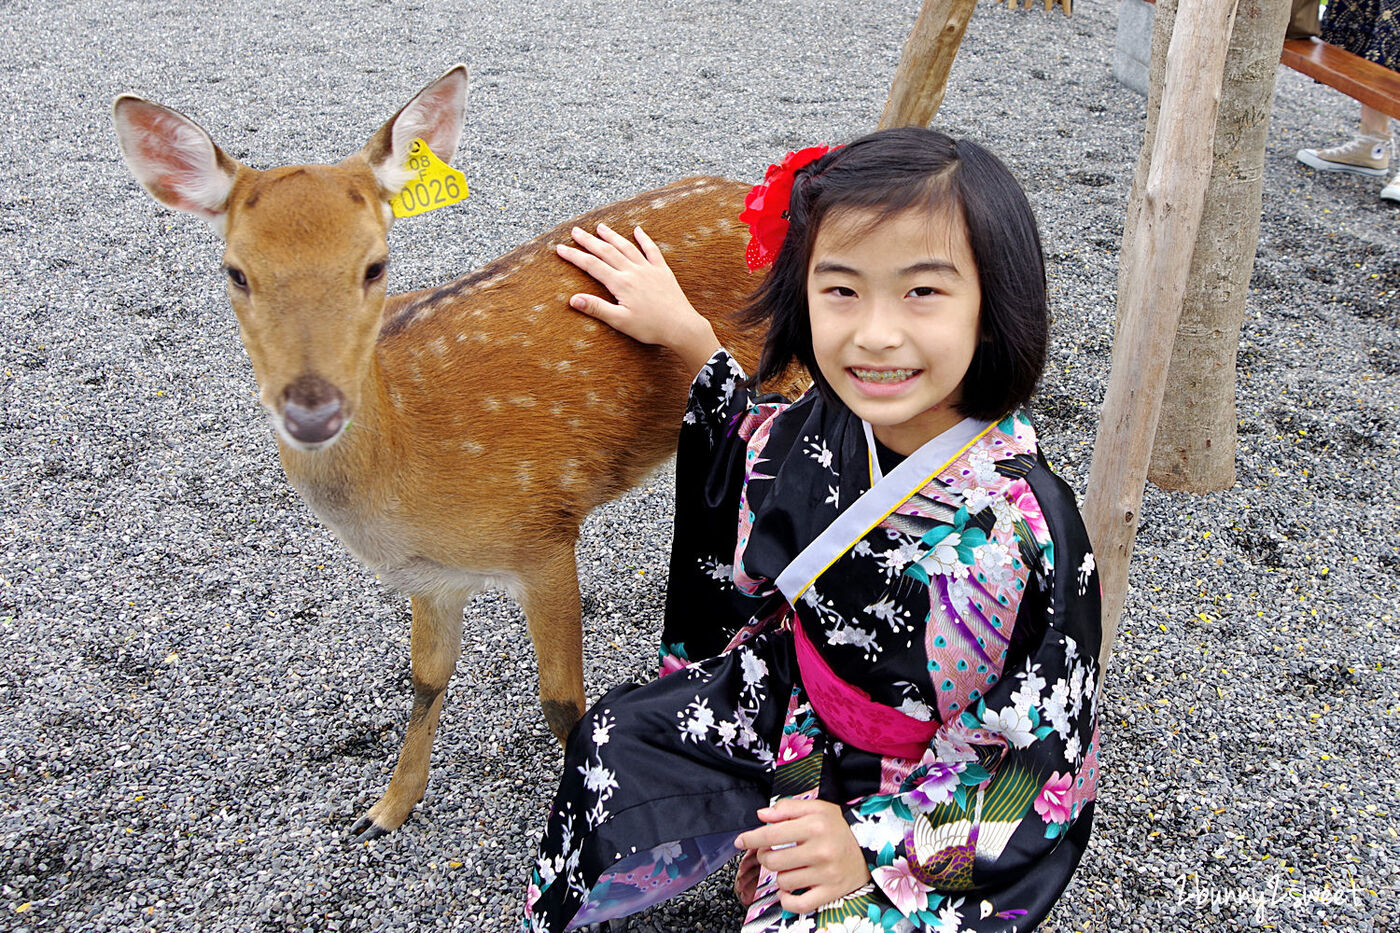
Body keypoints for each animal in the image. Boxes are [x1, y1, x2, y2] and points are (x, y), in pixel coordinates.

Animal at [112, 63, 789, 834]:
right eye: (236, 271)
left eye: (375, 265)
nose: (313, 407)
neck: (412, 486)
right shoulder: (431, 578)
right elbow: (425, 679)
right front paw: (384, 810)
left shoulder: (542, 530)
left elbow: (562, 701)